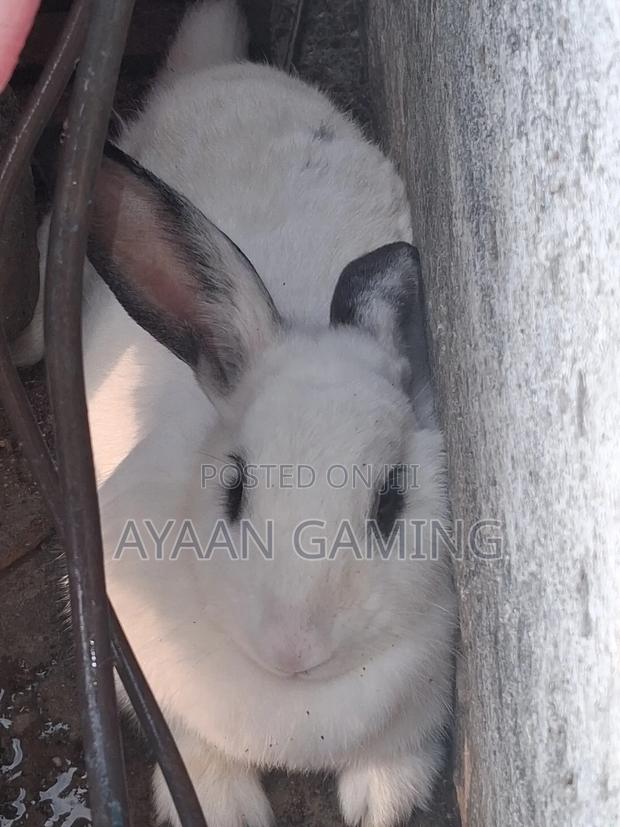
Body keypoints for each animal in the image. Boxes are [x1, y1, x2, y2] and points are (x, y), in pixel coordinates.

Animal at [15, 1, 457, 825]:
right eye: (234, 489)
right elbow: (197, 752)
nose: (293, 647)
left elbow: (394, 751)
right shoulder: (151, 682)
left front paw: (379, 801)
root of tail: (213, 71)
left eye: (390, 503)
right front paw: (229, 809)